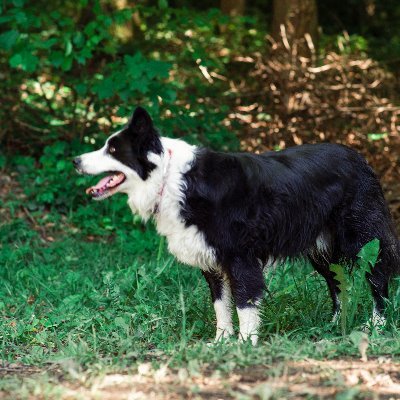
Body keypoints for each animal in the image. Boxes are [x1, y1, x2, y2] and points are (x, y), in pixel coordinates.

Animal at [73, 106, 398, 344]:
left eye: (113, 150)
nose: (76, 160)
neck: (171, 179)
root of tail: (360, 158)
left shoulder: (240, 256)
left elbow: (244, 302)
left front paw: (245, 343)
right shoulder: (211, 258)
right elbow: (221, 304)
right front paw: (221, 341)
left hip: (362, 237)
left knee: (377, 276)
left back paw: (377, 325)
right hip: (322, 249)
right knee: (337, 281)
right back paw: (332, 325)